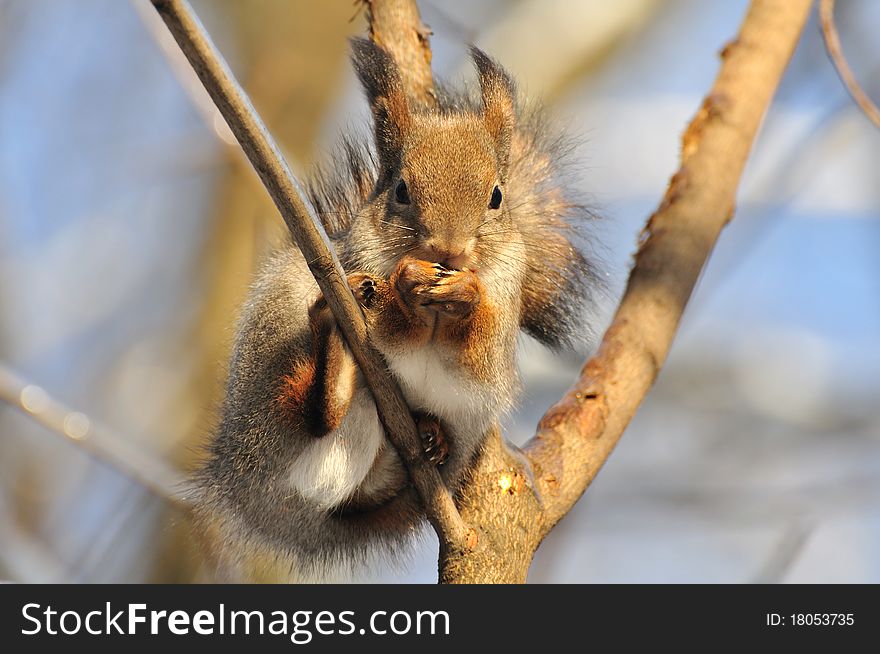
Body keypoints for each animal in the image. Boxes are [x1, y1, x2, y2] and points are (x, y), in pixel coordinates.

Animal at [196, 38, 600, 580]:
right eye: (401, 190)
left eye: (497, 196)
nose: (449, 251)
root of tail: (256, 501)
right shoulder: (359, 267)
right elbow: (389, 323)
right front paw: (405, 288)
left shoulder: (497, 335)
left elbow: (473, 354)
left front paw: (466, 293)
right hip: (271, 365)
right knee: (310, 413)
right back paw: (335, 362)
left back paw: (428, 436)